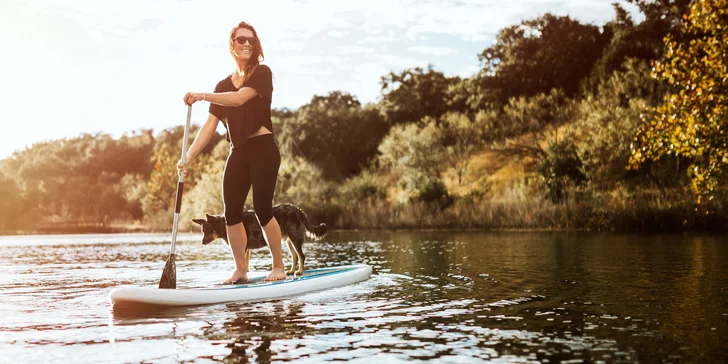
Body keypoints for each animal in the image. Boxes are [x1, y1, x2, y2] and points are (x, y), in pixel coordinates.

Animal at [195, 203, 328, 274]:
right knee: (295, 256)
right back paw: (291, 271)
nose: (202, 242)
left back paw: (300, 271)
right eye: (202, 231)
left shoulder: (243, 248)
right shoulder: (247, 249)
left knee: (301, 256)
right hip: (289, 241)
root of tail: (299, 210)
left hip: (295, 239)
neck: (225, 225)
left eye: (207, 230)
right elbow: (245, 263)